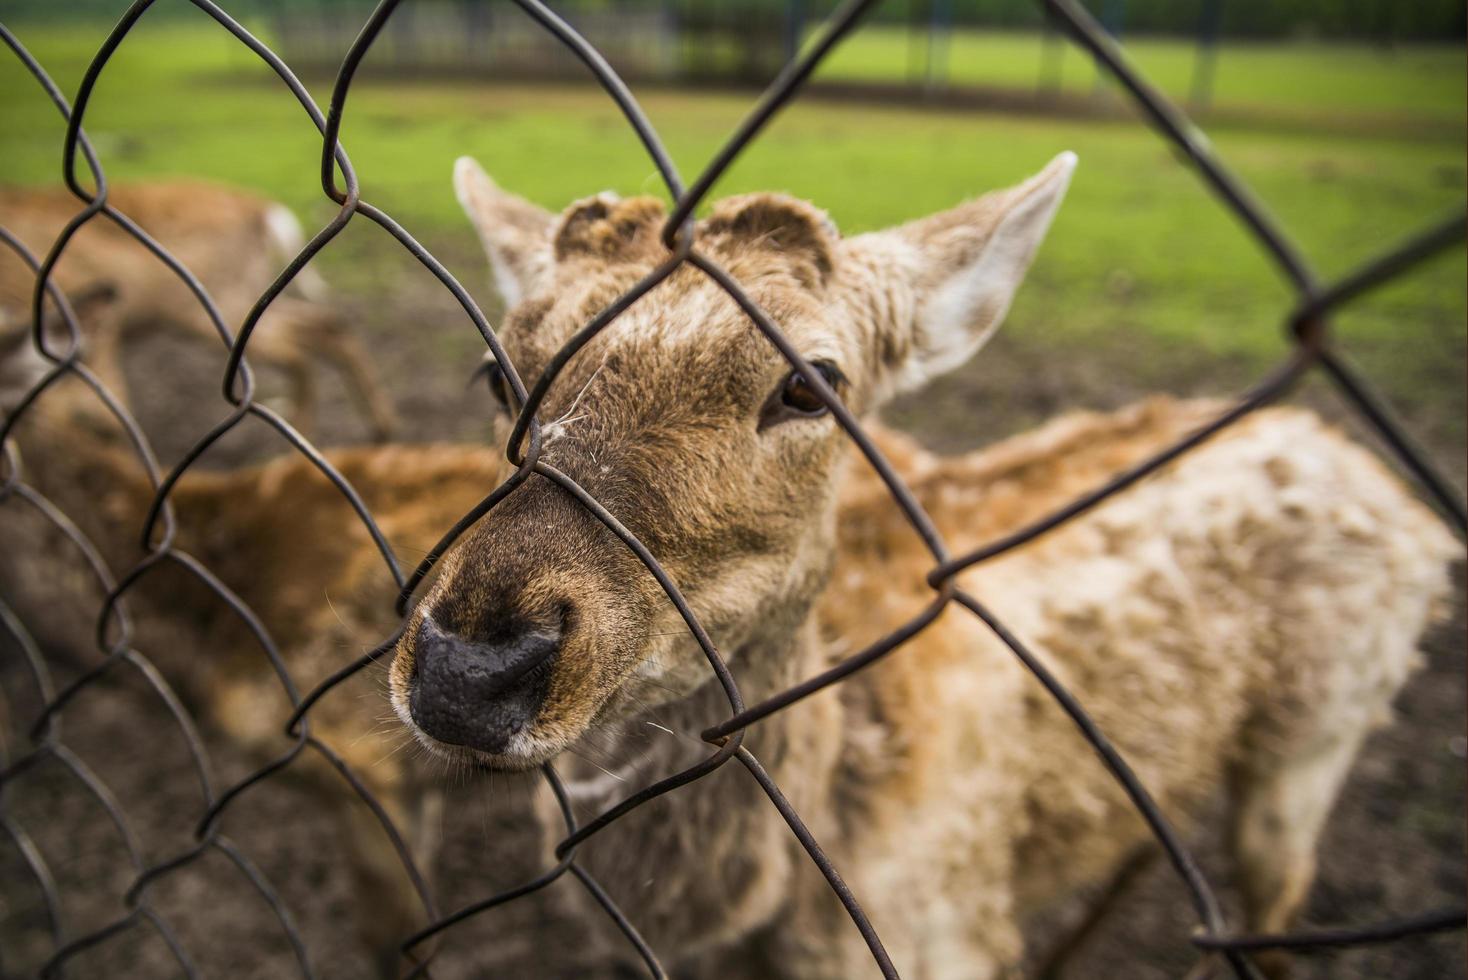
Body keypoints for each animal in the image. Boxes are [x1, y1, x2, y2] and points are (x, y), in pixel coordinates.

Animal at [0, 181, 402, 443]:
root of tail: (263, 211)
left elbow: (106, 401)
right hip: (246, 294)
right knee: (327, 323)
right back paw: (378, 427)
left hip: (215, 307)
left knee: (297, 349)